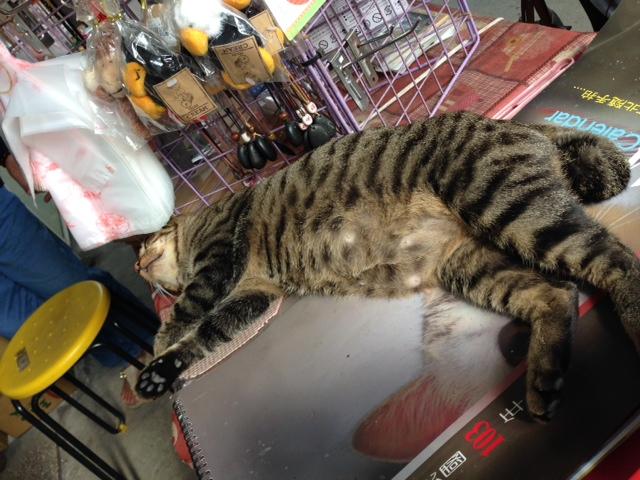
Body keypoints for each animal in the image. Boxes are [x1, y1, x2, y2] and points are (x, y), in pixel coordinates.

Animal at [134, 111, 638, 421]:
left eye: (144, 246)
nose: (137, 265)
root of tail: (514, 123)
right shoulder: (252, 295)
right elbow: (207, 335)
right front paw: (163, 370)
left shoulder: (220, 257)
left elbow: (186, 313)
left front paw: (156, 345)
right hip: (470, 263)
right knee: (557, 294)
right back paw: (544, 380)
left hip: (509, 206)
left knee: (617, 264)